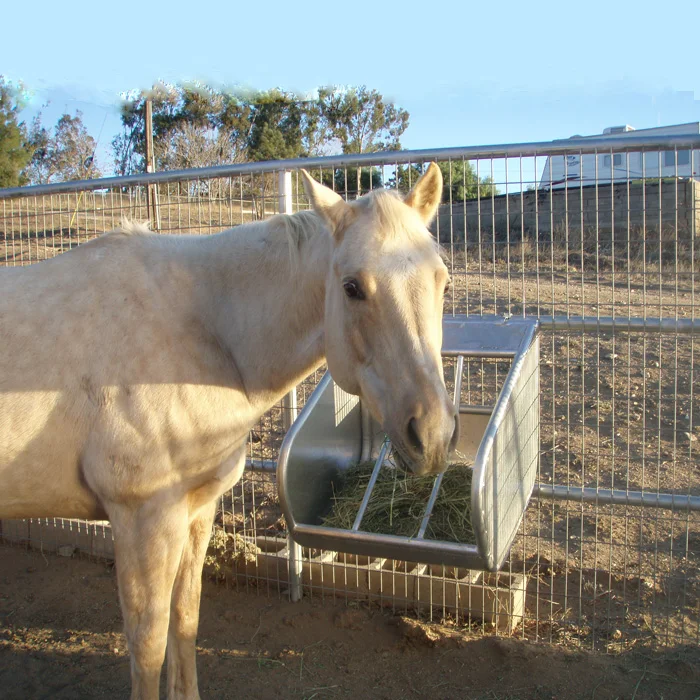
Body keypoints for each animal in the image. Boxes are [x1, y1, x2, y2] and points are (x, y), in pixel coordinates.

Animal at [0, 163, 458, 699]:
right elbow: (147, 646)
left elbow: (185, 621)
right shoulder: (141, 519)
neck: (203, 330)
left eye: (442, 280)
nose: (432, 434)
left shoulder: (197, 509)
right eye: (351, 287)